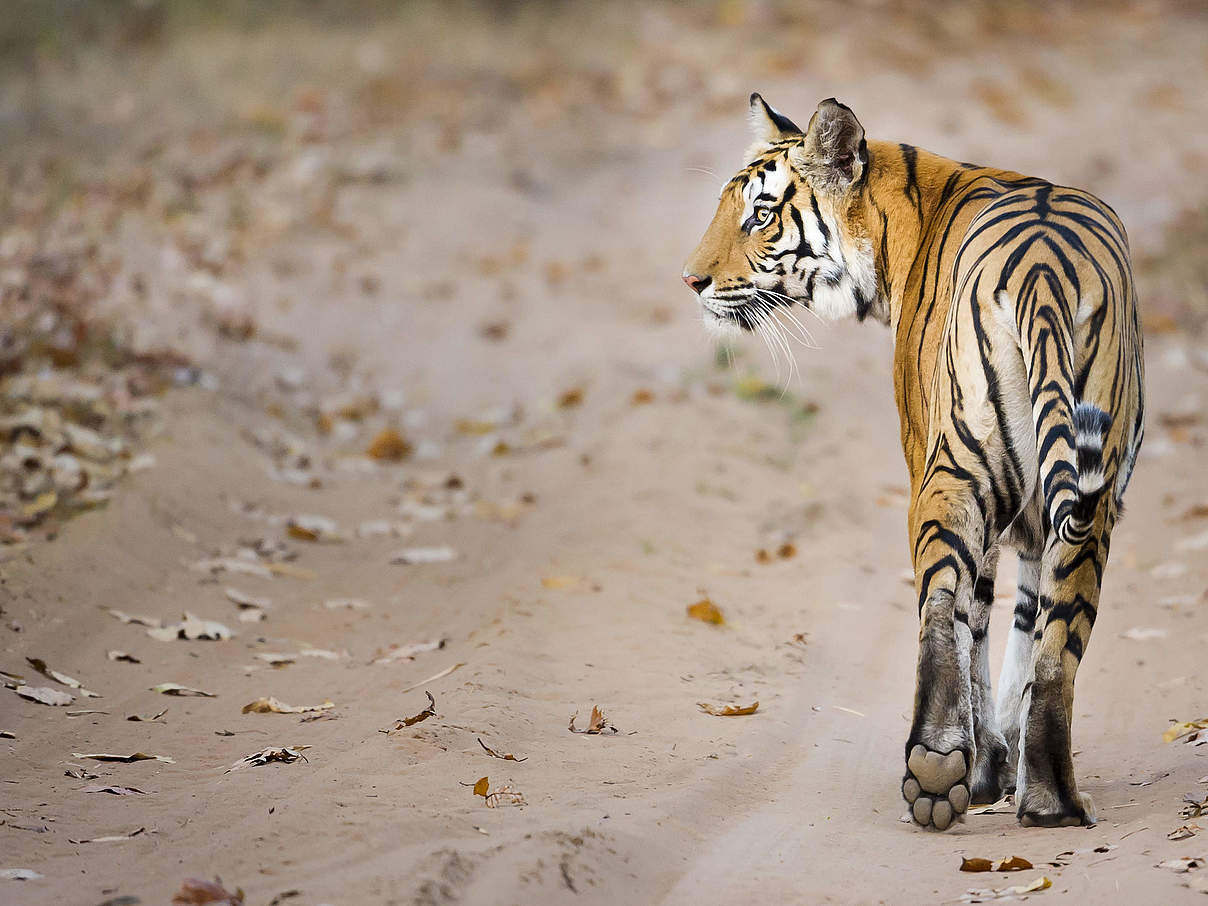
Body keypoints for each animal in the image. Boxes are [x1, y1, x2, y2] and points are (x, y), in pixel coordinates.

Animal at [686, 97, 1145, 831]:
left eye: (760, 214)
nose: (691, 279)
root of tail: (1045, 275)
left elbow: (978, 628)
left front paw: (984, 770)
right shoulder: (1038, 524)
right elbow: (1024, 633)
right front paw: (1003, 765)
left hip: (950, 475)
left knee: (941, 609)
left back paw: (936, 771)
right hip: (1087, 504)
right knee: (1056, 646)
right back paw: (1050, 800)